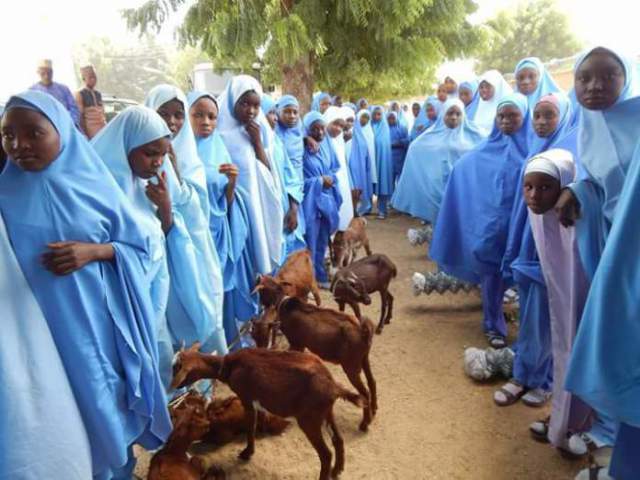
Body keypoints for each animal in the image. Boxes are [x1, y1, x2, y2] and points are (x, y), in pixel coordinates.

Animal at [170, 344, 362, 480]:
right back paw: (337, 471)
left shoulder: (246, 398)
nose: (173, 386)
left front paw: (247, 453)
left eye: (177, 367)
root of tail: (333, 386)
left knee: (325, 454)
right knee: (338, 440)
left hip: (309, 419)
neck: (229, 366)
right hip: (326, 412)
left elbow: (250, 425)